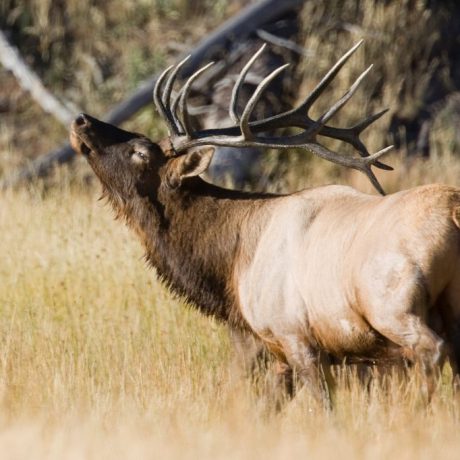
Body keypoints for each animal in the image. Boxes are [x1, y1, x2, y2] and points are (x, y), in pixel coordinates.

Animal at [70, 43, 460, 402]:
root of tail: (453, 212)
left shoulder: (295, 336)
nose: (80, 120)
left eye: (140, 151)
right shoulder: (277, 353)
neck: (231, 268)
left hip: (392, 305)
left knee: (432, 350)